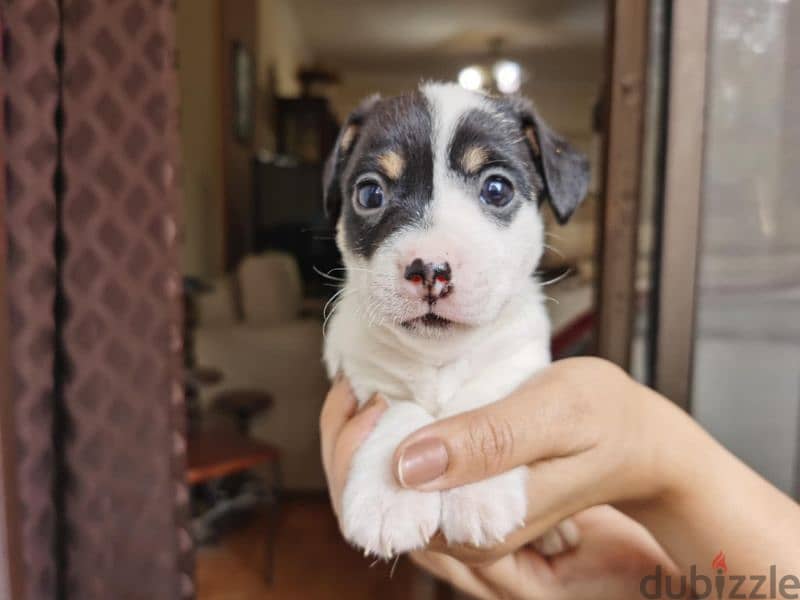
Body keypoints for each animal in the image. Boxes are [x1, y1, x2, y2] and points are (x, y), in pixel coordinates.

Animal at [322, 82, 592, 560]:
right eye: (370, 195)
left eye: (497, 189)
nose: (430, 268)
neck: (439, 357)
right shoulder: (364, 376)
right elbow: (400, 408)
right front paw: (388, 500)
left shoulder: (518, 359)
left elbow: (483, 397)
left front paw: (478, 494)